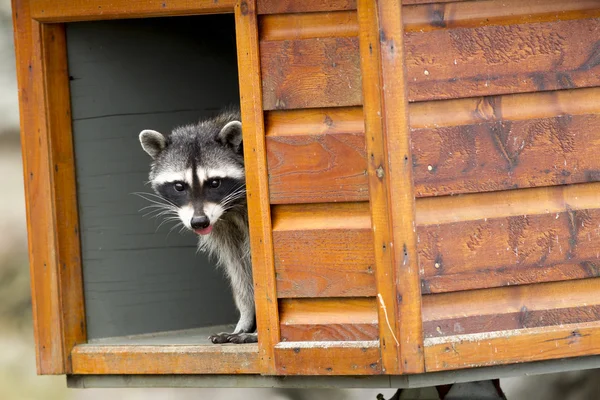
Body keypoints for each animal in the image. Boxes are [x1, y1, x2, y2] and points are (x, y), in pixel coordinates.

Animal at [138, 108, 255, 344]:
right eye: (179, 186)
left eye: (215, 183)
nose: (200, 222)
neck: (231, 210)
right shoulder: (223, 227)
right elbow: (238, 267)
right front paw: (246, 316)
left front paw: (255, 330)